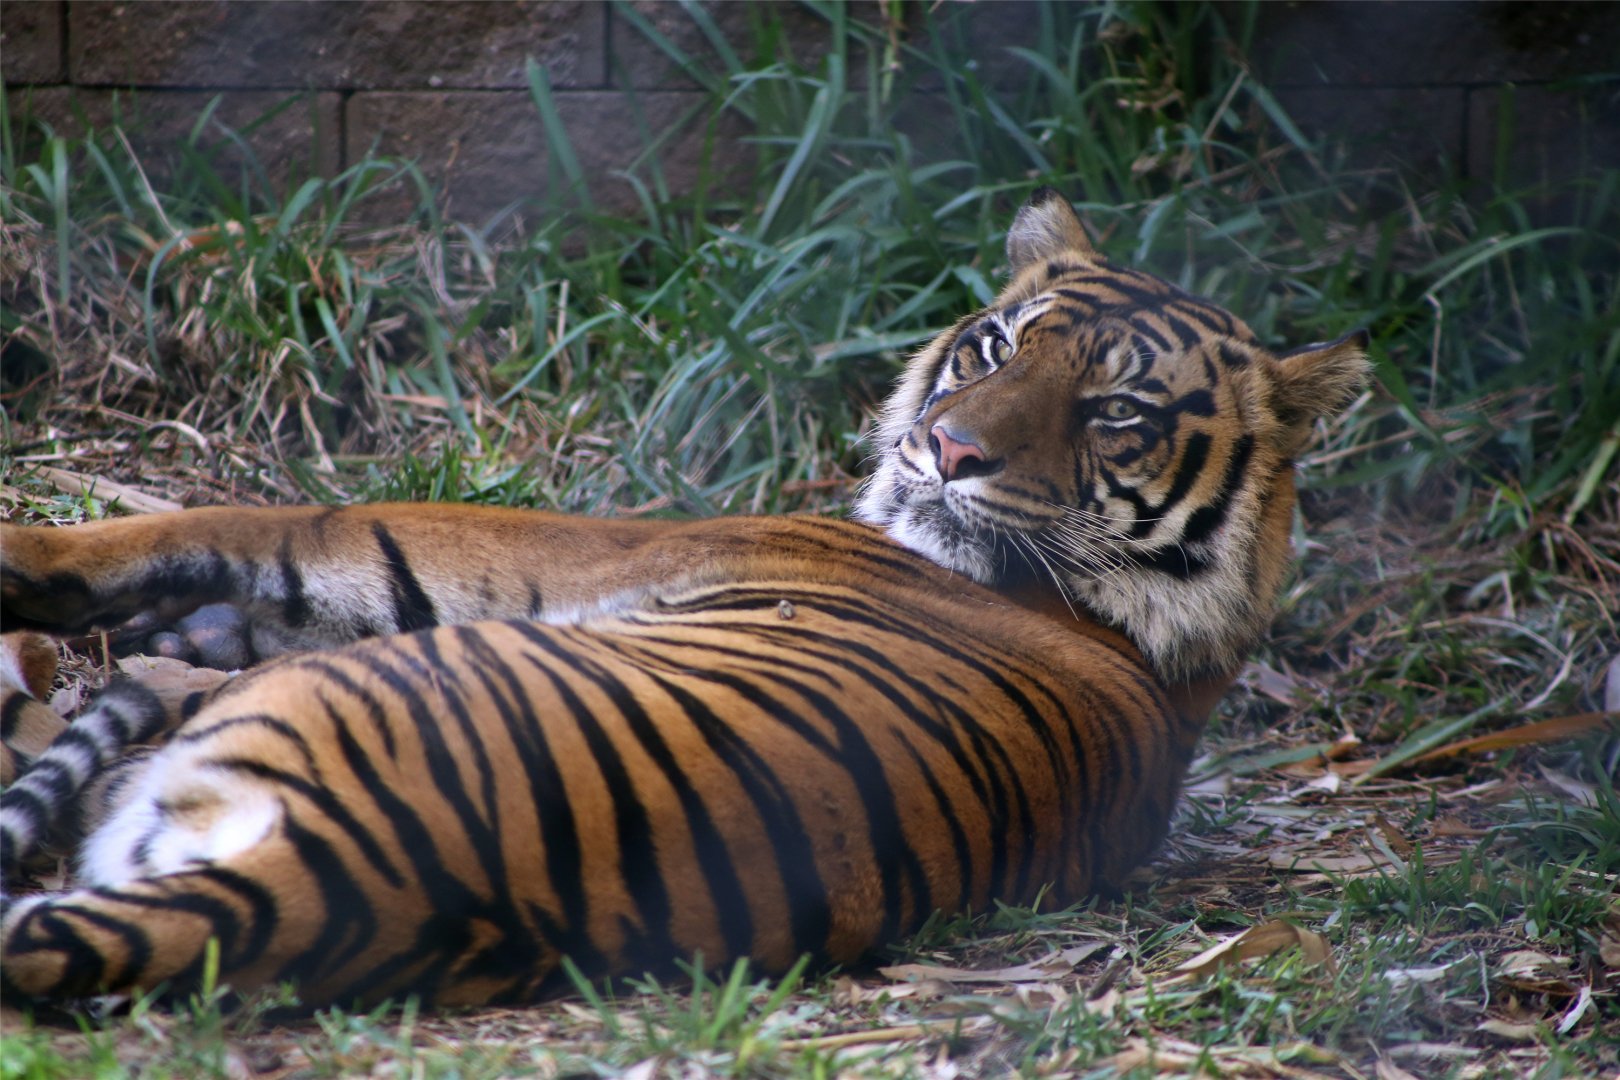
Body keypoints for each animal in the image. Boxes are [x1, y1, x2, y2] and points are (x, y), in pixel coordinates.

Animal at [0, 188, 1369, 1008]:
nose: (947, 448)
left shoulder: (576, 551)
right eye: (994, 345)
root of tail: (345, 876)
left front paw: (34, 553)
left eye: (1115, 413)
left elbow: (279, 524)